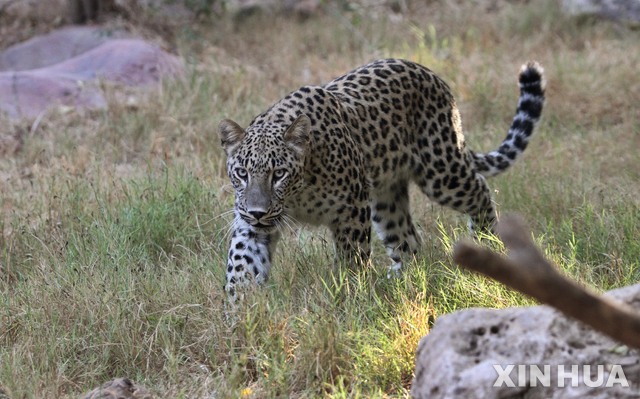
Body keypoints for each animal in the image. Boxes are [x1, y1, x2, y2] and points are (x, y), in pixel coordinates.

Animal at [219, 57, 544, 300]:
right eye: (242, 173)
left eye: (279, 174)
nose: (258, 213)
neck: (298, 193)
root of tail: (429, 73)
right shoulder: (249, 225)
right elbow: (241, 266)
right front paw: (239, 317)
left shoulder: (351, 210)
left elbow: (352, 259)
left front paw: (349, 297)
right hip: (387, 198)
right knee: (408, 241)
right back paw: (398, 281)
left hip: (441, 171)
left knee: (479, 190)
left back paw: (488, 241)